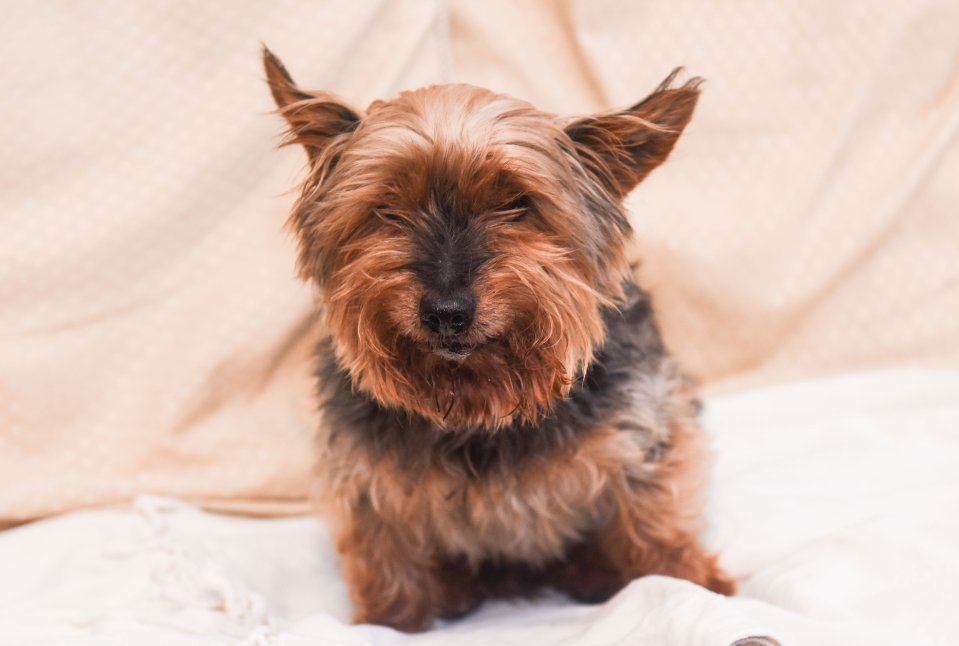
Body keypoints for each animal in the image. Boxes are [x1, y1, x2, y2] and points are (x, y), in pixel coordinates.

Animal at [262, 48, 736, 636]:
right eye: (387, 209)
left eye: (518, 204)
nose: (446, 312)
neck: (480, 401)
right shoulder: (368, 479)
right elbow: (387, 565)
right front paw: (388, 623)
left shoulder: (645, 435)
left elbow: (656, 529)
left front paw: (698, 591)